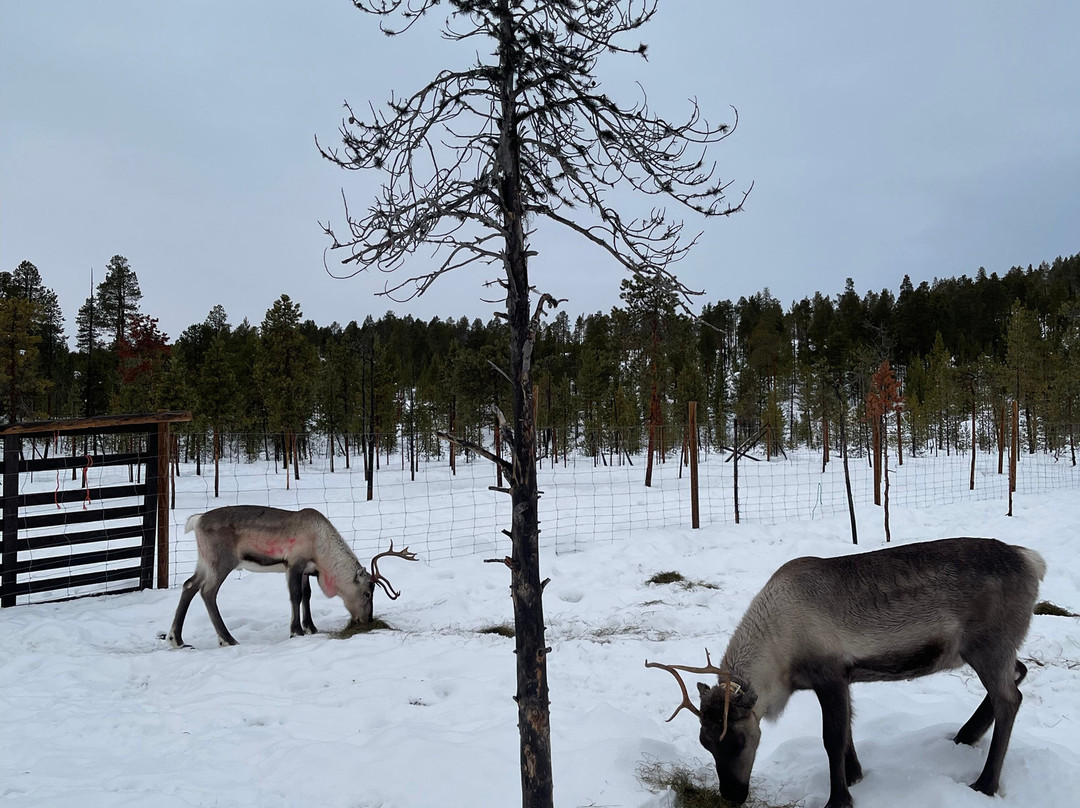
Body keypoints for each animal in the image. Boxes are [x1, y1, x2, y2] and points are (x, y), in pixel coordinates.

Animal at [166, 505, 418, 648]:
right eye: (367, 593)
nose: (367, 620)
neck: (322, 552)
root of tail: (197, 520)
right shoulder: (294, 564)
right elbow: (296, 596)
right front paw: (296, 630)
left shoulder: (307, 570)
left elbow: (307, 595)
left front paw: (311, 628)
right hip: (222, 561)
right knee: (207, 592)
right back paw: (227, 639)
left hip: (204, 561)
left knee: (188, 586)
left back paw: (177, 639)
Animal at [646, 537, 1046, 808]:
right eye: (706, 742)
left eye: (739, 741)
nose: (731, 795)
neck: (781, 656)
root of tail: (1031, 560)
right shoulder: (842, 679)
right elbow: (848, 730)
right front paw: (855, 775)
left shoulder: (830, 675)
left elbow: (833, 738)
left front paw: (839, 798)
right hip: (993, 649)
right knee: (1020, 672)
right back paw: (966, 736)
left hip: (988, 646)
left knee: (1010, 698)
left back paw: (985, 784)